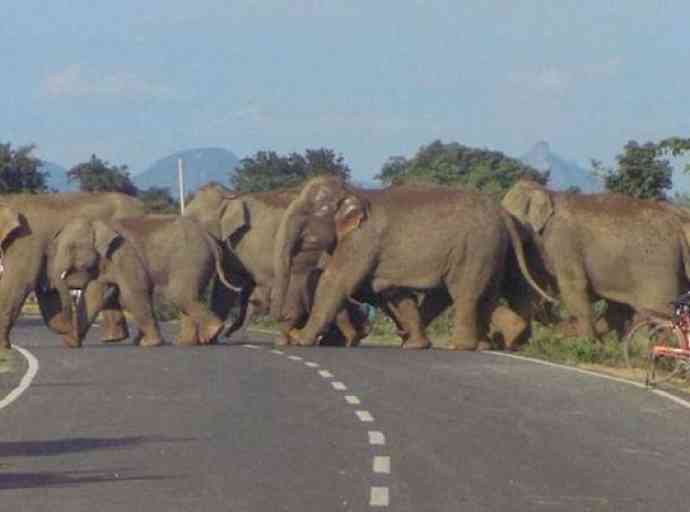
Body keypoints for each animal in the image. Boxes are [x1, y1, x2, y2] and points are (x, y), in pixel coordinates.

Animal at [47, 214, 236, 346]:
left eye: (72, 247)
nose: (68, 338)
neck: (99, 222)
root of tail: (210, 239)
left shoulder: (124, 255)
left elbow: (131, 295)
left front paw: (149, 344)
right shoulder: (102, 263)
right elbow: (92, 297)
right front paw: (71, 343)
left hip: (190, 261)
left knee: (179, 295)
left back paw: (212, 332)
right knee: (187, 296)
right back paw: (186, 343)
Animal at [272, 178, 552, 350]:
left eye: (306, 215)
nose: (285, 322)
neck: (354, 192)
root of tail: (504, 214)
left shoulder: (361, 241)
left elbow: (336, 282)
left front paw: (301, 340)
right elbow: (392, 293)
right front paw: (414, 345)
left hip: (474, 249)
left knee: (465, 293)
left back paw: (458, 346)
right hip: (491, 251)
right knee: (482, 294)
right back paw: (477, 345)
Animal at [498, 181, 688, 340]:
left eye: (509, 215)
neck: (547, 192)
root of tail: (678, 225)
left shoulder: (563, 241)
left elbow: (573, 285)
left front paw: (587, 343)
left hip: (658, 272)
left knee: (660, 316)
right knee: (620, 312)